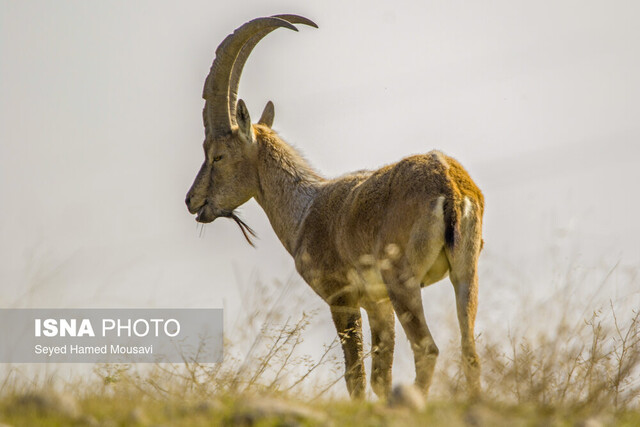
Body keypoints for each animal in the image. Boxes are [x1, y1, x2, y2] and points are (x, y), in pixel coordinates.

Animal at [185, 14, 484, 402]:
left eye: (218, 155)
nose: (192, 200)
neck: (304, 210)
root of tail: (448, 182)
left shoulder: (341, 297)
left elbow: (355, 374)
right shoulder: (377, 303)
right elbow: (380, 375)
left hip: (403, 281)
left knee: (428, 349)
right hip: (465, 272)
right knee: (469, 350)